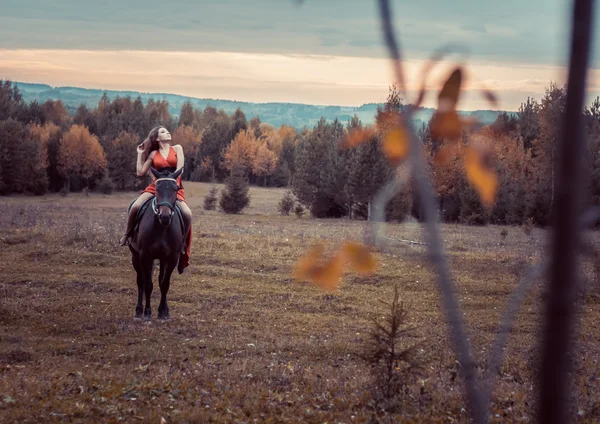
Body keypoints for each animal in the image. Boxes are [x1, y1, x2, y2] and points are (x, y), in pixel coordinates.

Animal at [131, 167, 185, 320]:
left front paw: (162, 312)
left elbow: (164, 283)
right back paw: (139, 310)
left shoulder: (171, 258)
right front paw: (148, 312)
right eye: (157, 189)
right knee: (140, 281)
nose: (165, 216)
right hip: (136, 256)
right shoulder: (145, 256)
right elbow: (148, 284)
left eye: (175, 189)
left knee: (160, 279)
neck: (162, 228)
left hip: (162, 259)